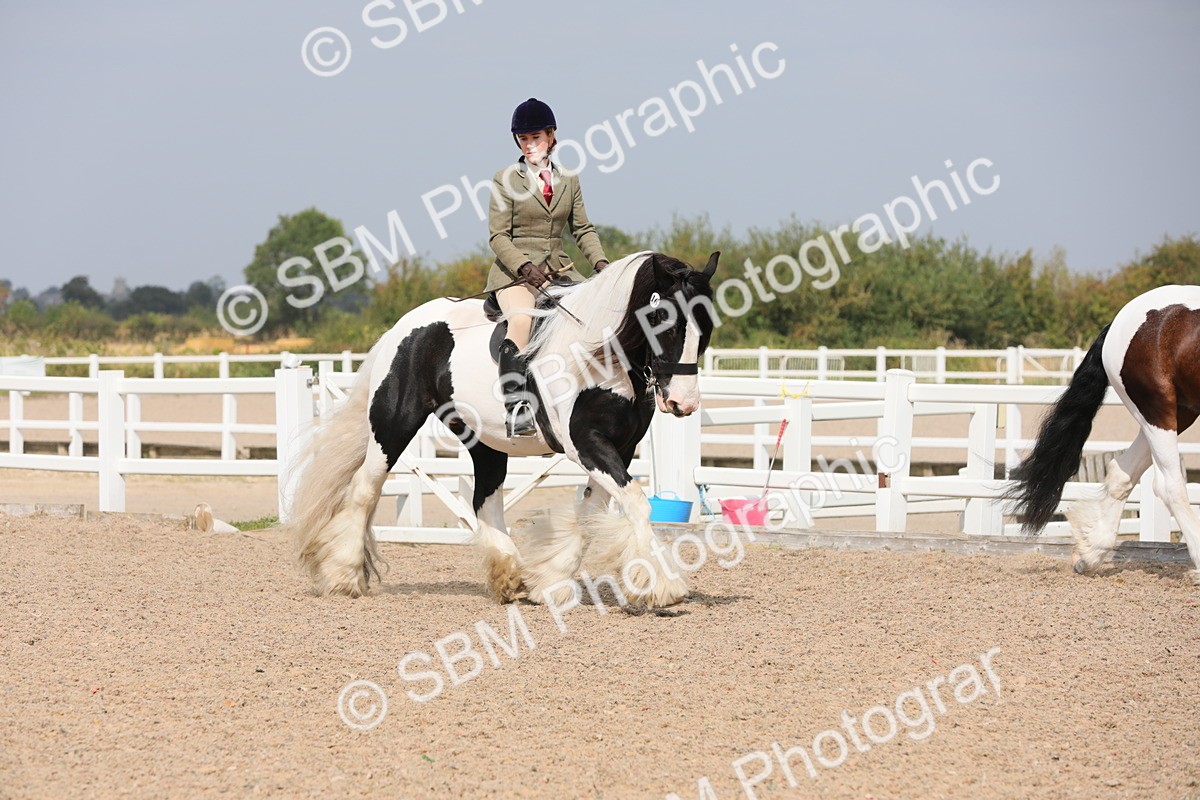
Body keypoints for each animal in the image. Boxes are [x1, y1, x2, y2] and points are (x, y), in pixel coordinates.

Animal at [284, 250, 719, 607]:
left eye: (706, 328)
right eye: (662, 321)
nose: (683, 403)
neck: (601, 356)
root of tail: (403, 327)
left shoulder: (620, 447)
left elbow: (592, 510)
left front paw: (553, 581)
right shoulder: (587, 444)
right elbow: (635, 502)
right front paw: (660, 585)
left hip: (485, 440)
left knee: (485, 500)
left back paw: (510, 575)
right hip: (393, 426)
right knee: (365, 489)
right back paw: (343, 576)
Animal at [1005, 284, 1200, 583]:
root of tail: (1120, 320)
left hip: (1179, 411)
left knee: (1122, 473)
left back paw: (1089, 554)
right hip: (1157, 409)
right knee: (1169, 485)